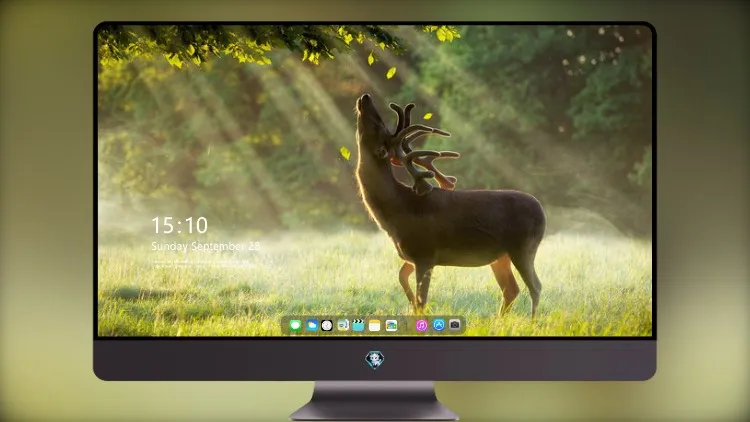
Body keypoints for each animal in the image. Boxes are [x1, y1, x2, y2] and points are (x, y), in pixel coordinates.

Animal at [354, 93, 547, 318]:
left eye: (378, 126)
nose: (365, 97)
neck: (396, 211)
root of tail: (542, 212)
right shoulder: (412, 255)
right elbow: (402, 278)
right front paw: (410, 305)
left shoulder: (425, 253)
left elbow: (422, 300)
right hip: (501, 256)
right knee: (511, 289)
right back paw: (500, 320)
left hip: (523, 246)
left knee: (535, 286)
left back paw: (532, 321)